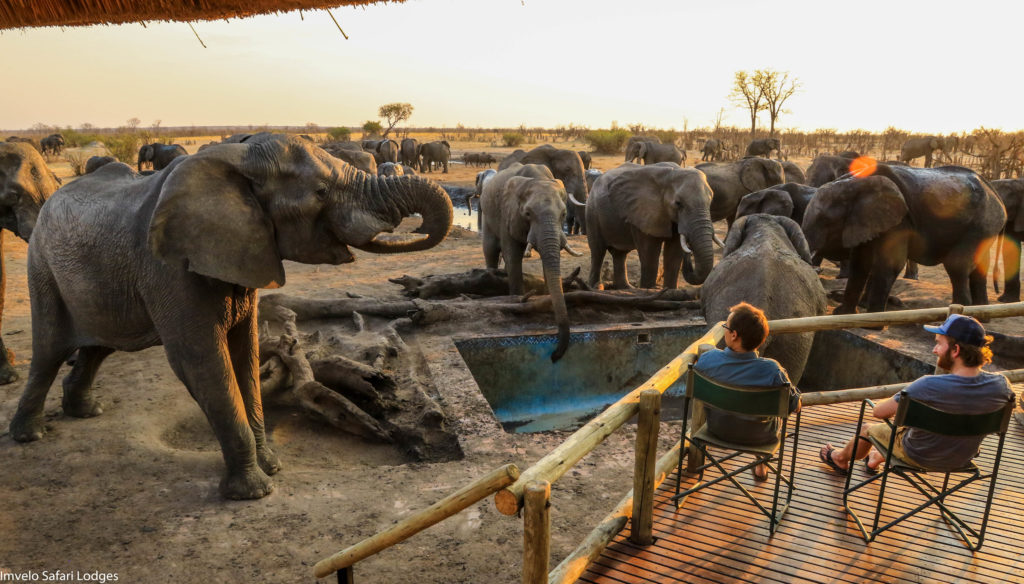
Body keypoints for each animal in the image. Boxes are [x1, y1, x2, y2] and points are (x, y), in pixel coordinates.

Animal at [8, 135, 454, 500]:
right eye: (321, 191)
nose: (416, 230)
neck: (235, 161)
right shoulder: (169, 267)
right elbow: (203, 360)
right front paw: (254, 491)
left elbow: (245, 353)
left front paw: (271, 465)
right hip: (42, 266)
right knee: (49, 348)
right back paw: (28, 434)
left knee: (99, 345)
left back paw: (87, 411)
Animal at [480, 163, 573, 362]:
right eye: (528, 214)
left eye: (563, 214)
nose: (554, 356)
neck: (537, 179)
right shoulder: (507, 213)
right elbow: (513, 256)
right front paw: (517, 299)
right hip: (488, 214)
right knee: (490, 250)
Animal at [585, 162, 719, 290]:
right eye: (678, 203)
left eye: (711, 201)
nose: (690, 251)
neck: (671, 173)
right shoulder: (643, 211)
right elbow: (650, 255)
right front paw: (647, 290)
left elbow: (674, 256)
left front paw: (670, 290)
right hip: (592, 213)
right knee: (598, 251)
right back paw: (594, 287)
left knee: (620, 254)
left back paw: (626, 288)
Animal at [802, 163, 1006, 315]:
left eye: (826, 221)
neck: (854, 182)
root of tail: (994, 192)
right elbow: (860, 262)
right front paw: (843, 314)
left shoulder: (900, 221)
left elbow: (890, 263)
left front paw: (872, 320)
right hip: (985, 227)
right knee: (979, 267)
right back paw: (981, 316)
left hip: (981, 224)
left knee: (957, 265)